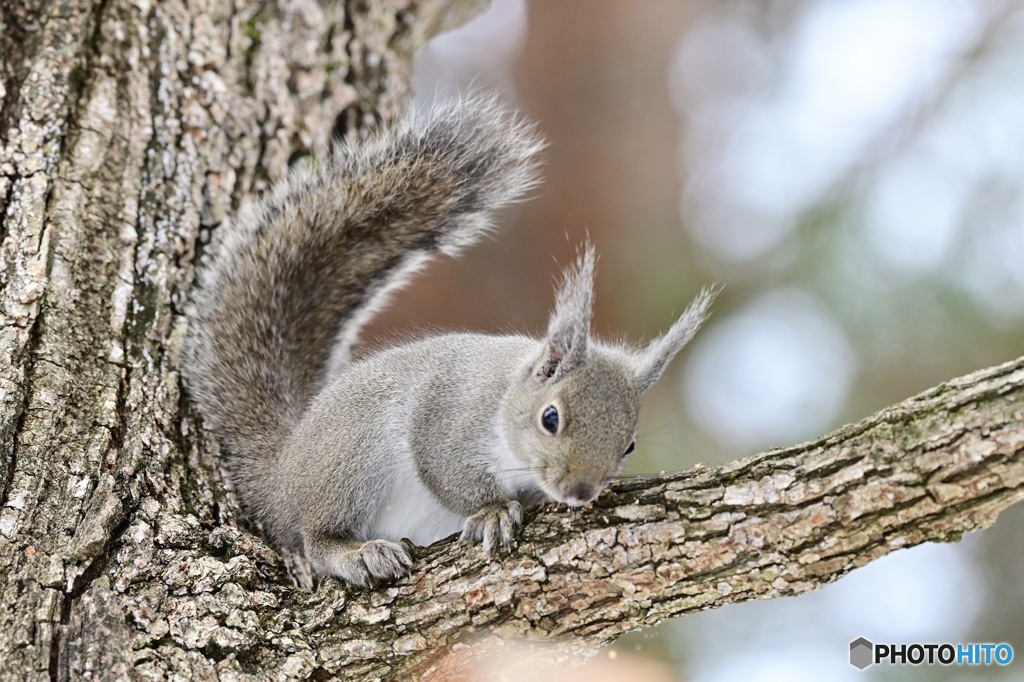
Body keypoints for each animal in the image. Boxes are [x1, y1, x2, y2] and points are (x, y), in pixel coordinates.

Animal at [184, 93, 712, 585]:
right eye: (551, 418)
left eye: (629, 445)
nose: (580, 493)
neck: (504, 403)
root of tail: (282, 473)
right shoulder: (447, 418)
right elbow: (446, 471)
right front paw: (493, 511)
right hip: (351, 456)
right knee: (314, 537)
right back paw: (355, 552)